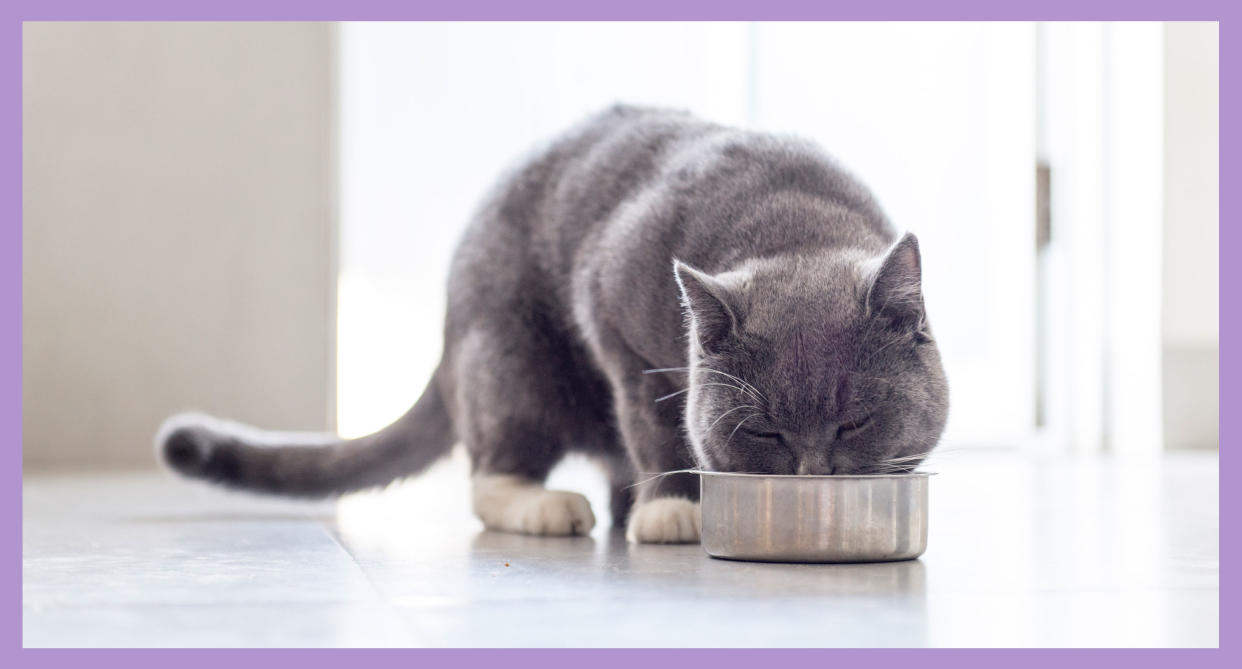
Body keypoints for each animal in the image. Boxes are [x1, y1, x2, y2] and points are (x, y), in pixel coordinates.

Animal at [157, 103, 948, 543]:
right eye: (765, 433)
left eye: (856, 421)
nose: (815, 474)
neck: (794, 225)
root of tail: (447, 339)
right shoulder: (614, 318)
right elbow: (655, 423)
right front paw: (674, 507)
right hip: (512, 357)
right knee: (491, 469)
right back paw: (551, 505)